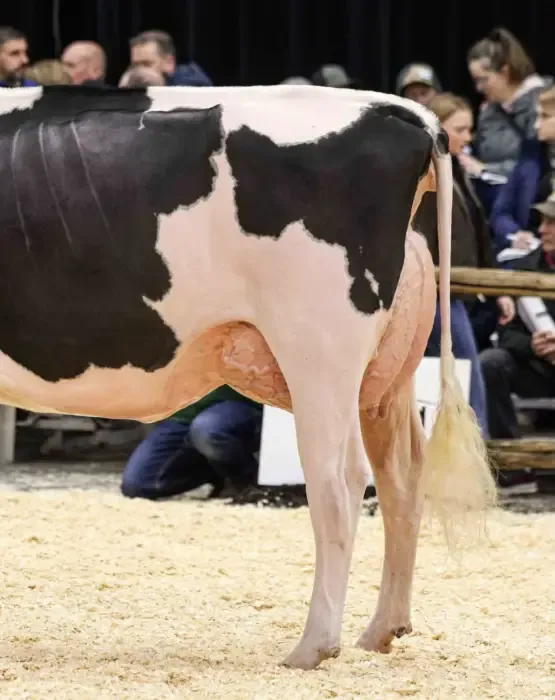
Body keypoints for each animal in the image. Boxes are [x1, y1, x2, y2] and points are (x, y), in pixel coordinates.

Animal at [0, 84, 497, 670]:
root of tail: (403, 112)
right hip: (388, 368)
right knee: (401, 476)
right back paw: (381, 630)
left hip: (318, 349)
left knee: (339, 480)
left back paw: (313, 646)